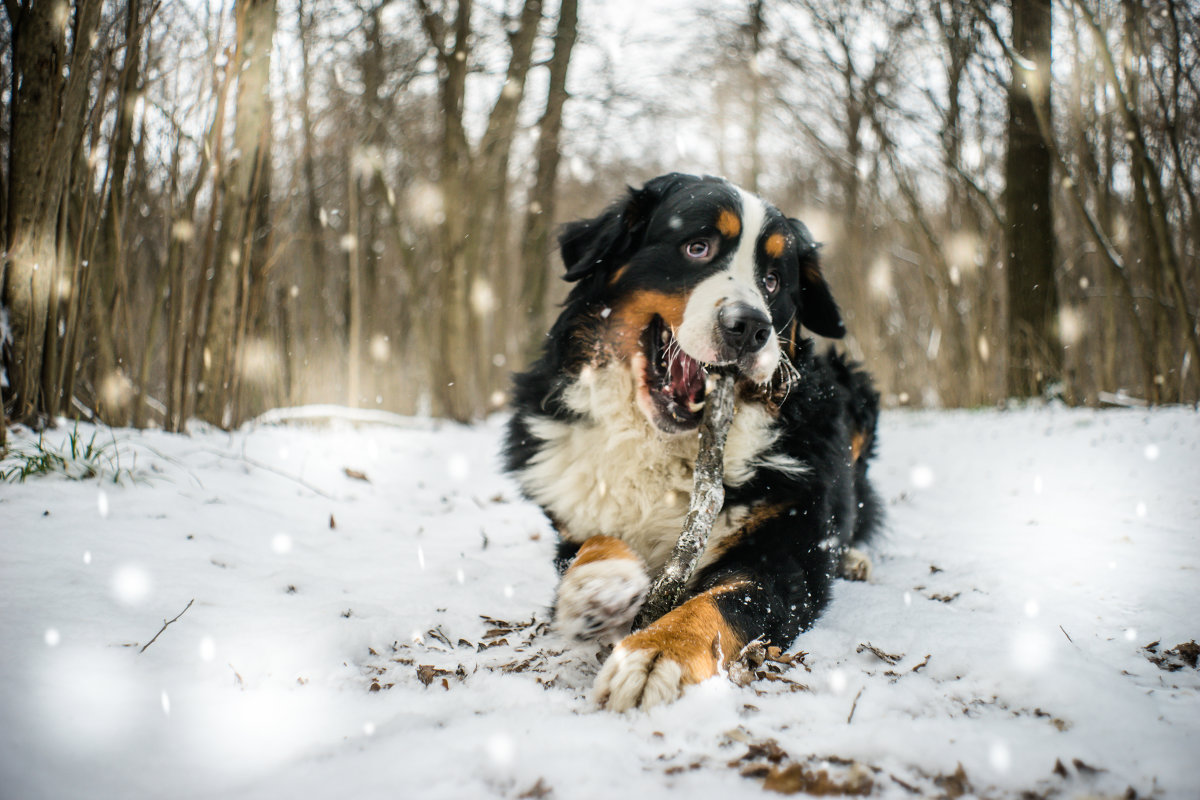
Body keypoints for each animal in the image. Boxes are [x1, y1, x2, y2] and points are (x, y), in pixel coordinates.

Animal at [499, 172, 883, 710]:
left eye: (773, 281)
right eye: (697, 247)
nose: (750, 327)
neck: (664, 446)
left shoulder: (786, 552)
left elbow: (722, 600)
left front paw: (657, 654)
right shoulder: (571, 514)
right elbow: (591, 539)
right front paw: (600, 584)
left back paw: (853, 557)